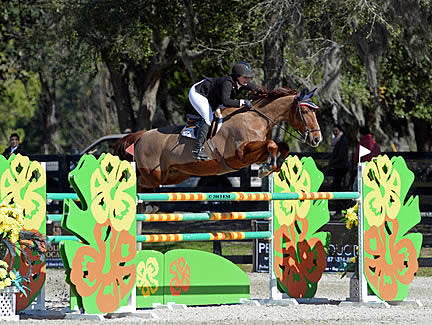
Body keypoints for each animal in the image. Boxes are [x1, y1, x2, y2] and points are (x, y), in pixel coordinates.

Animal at [113, 87, 322, 191]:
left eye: (314, 111)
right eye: (305, 112)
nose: (317, 139)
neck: (257, 118)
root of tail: (141, 136)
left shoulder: (256, 153)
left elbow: (282, 146)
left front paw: (270, 167)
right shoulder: (240, 154)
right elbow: (272, 144)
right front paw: (266, 168)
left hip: (175, 175)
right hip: (153, 175)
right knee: (135, 182)